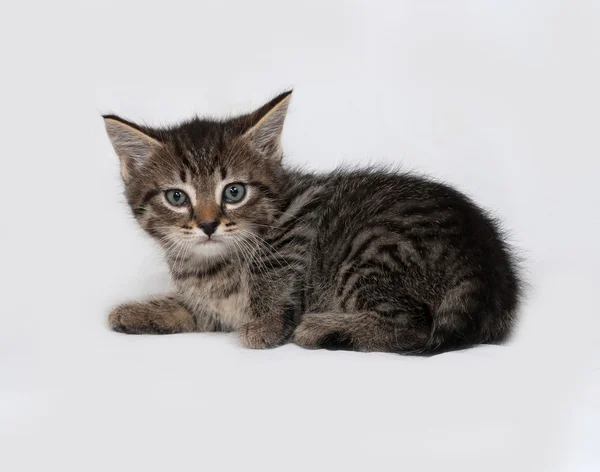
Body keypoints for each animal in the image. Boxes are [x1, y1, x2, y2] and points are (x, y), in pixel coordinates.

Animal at [105, 90, 524, 352]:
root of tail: (489, 266)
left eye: (234, 192)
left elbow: (272, 274)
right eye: (177, 197)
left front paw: (266, 325)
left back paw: (324, 328)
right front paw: (137, 311)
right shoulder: (210, 305)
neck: (210, 264)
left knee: (415, 324)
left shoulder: (299, 223)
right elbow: (191, 307)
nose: (208, 225)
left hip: (373, 246)